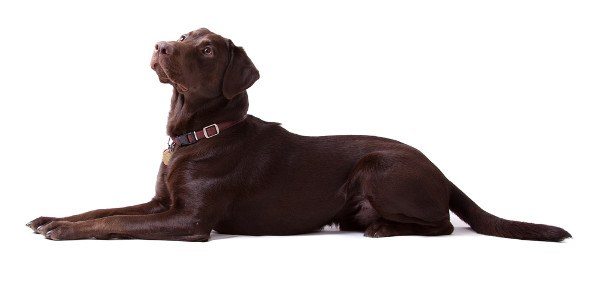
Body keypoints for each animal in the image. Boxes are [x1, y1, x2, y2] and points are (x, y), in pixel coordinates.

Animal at [28, 28, 572, 243]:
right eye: (183, 36)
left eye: (206, 50)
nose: (160, 45)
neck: (201, 134)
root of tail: (441, 168)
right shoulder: (160, 203)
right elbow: (101, 209)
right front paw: (52, 218)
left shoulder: (189, 220)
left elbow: (113, 221)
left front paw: (65, 233)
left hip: (380, 167)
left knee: (441, 224)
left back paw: (384, 228)